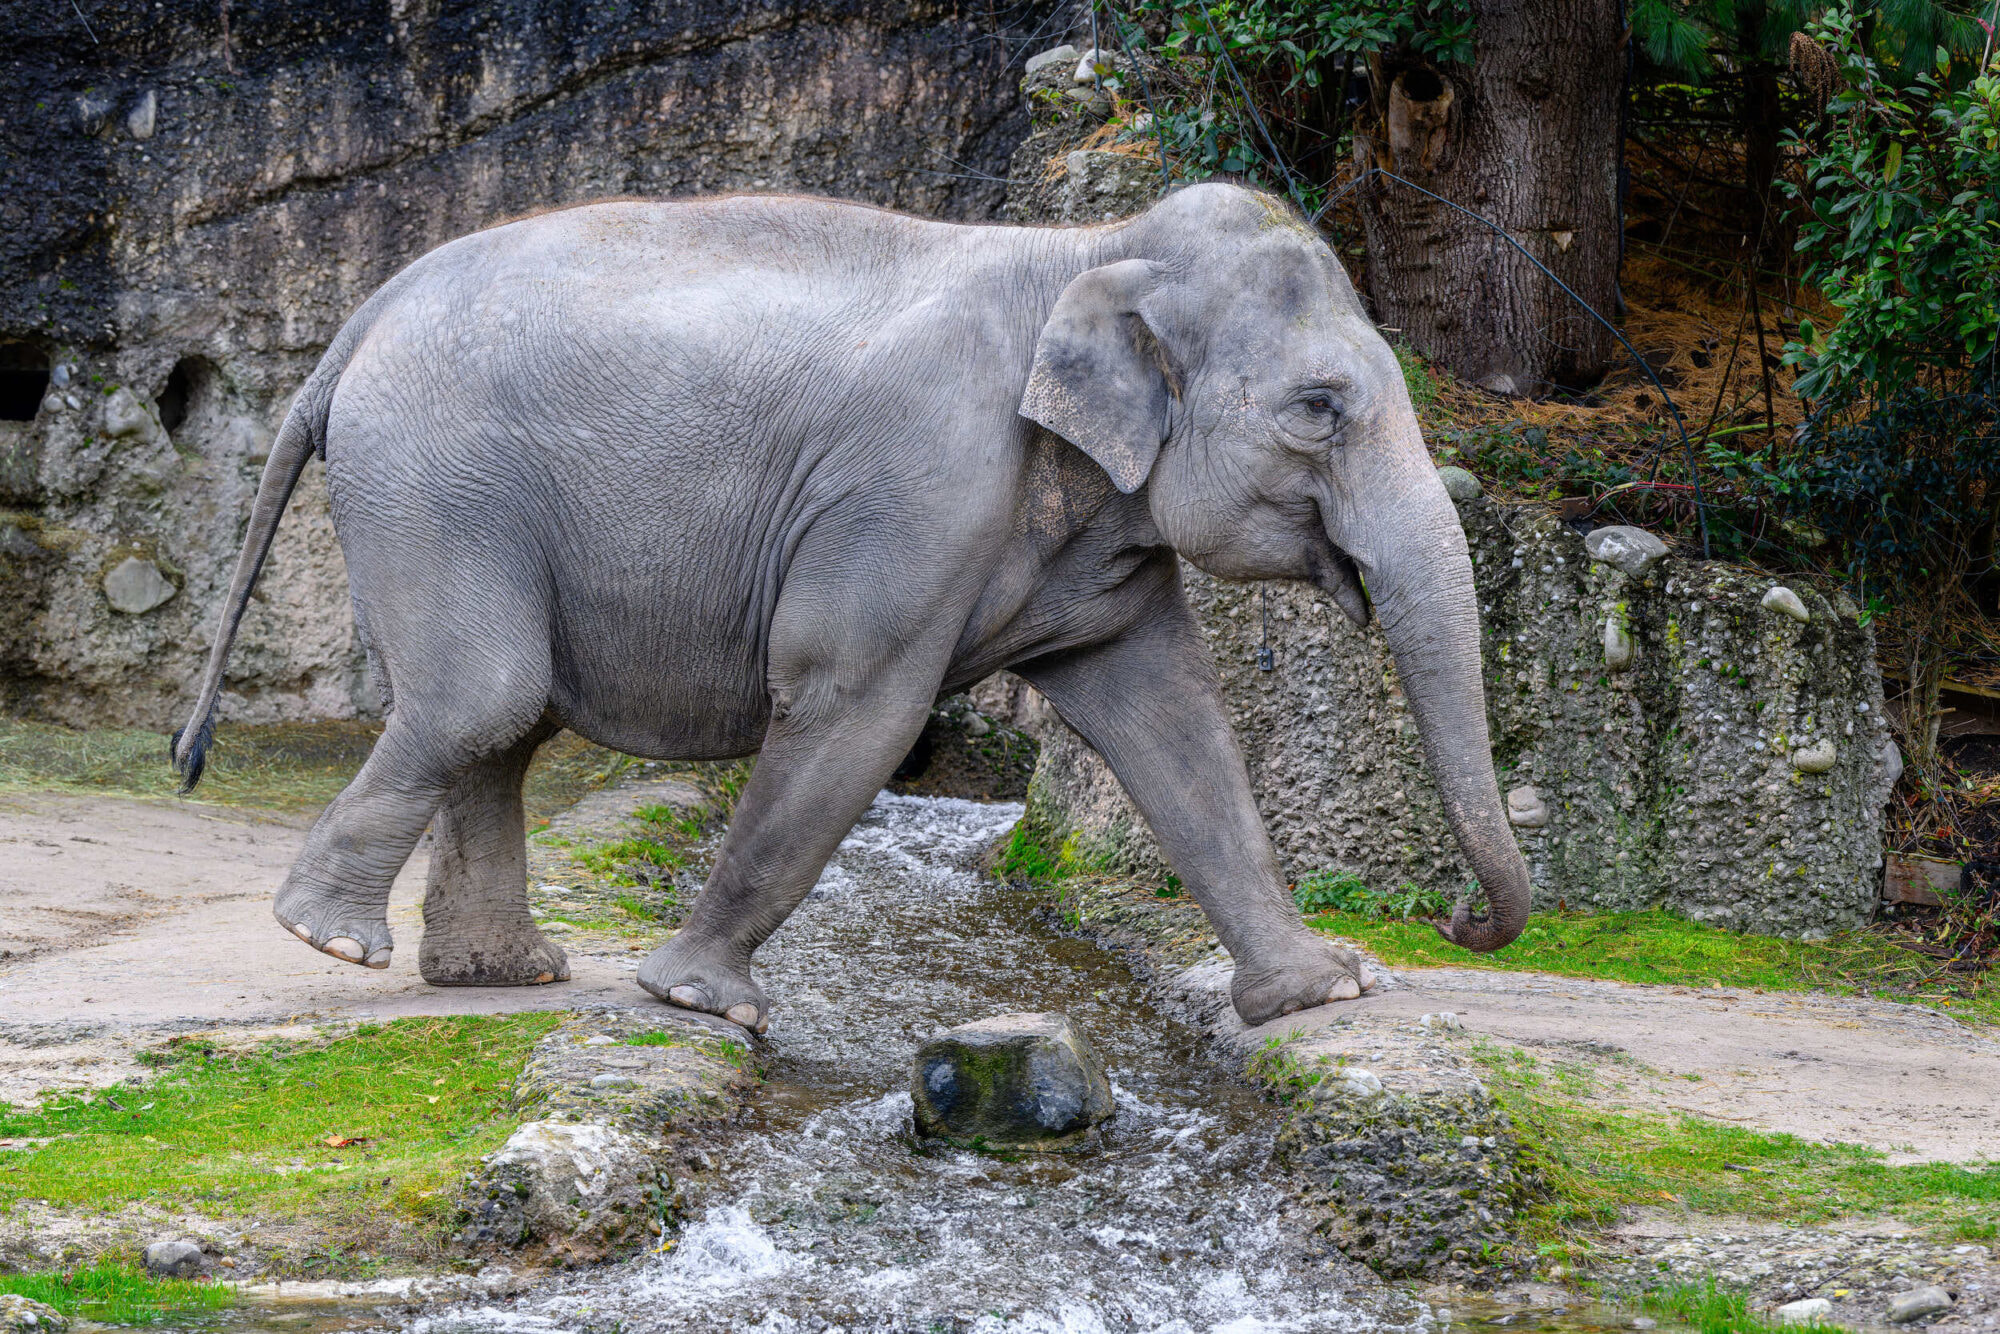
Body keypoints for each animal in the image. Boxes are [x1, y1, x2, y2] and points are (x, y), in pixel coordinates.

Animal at [173, 182, 1531, 1033]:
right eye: (1318, 407)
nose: (1460, 917)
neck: (1083, 243)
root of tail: (360, 320)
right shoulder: (916, 485)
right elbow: (853, 710)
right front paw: (698, 1001)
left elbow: (1174, 723)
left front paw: (1321, 993)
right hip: (437, 482)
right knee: (481, 695)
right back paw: (331, 940)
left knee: (501, 722)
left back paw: (500, 975)